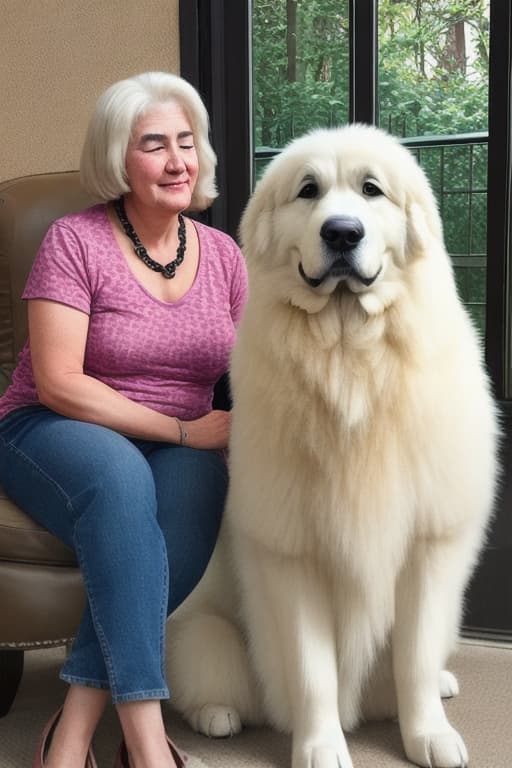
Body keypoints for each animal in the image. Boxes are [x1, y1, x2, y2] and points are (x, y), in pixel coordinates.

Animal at [167, 126, 496, 768]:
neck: (352, 362)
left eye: (371, 190)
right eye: (308, 190)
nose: (342, 232)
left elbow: (415, 659)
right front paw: (321, 745)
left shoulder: (428, 547)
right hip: (205, 635)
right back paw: (217, 716)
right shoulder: (293, 553)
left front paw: (429, 734)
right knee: (204, 676)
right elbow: (313, 671)